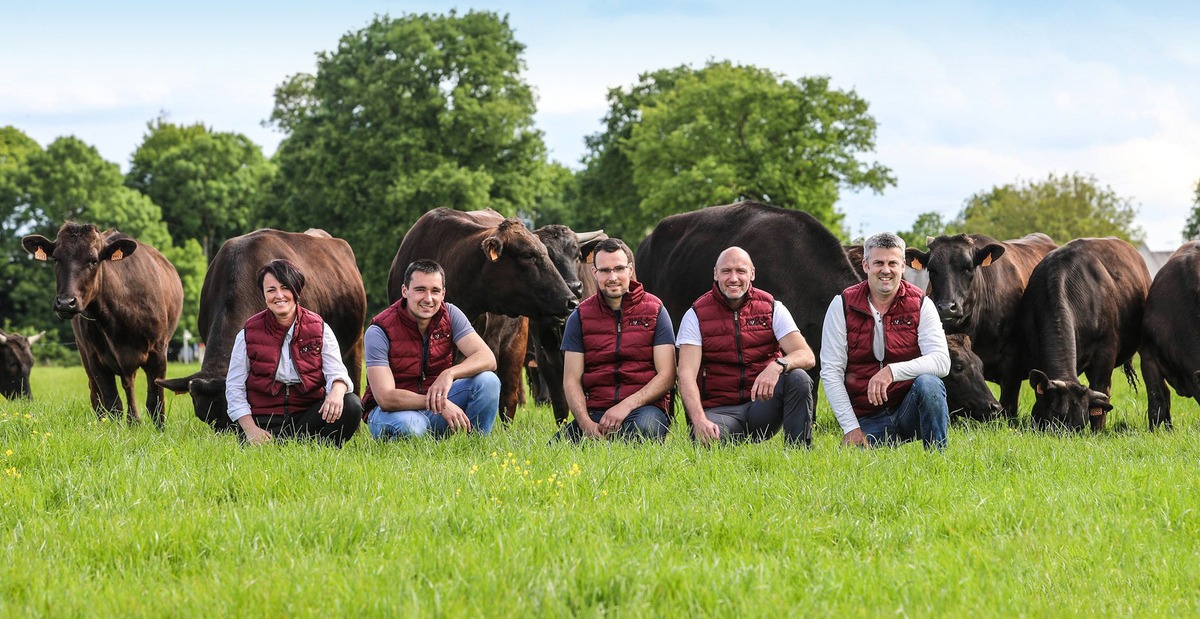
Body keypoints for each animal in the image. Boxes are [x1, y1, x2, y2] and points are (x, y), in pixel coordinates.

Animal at [22, 221, 181, 424]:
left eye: (94, 260)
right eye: (56, 259)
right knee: (98, 393)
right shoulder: (96, 359)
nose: (65, 302)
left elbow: (155, 403)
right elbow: (113, 404)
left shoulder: (158, 353)